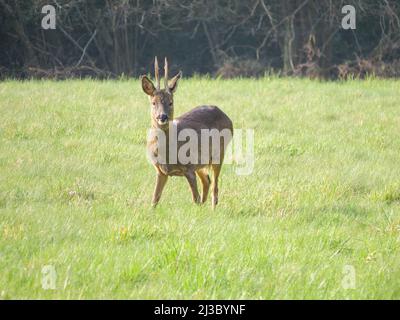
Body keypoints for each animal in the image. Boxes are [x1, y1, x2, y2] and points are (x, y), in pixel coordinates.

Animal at [141, 57, 233, 210]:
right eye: (153, 103)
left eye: (171, 102)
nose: (162, 117)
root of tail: (225, 115)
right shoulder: (160, 171)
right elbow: (154, 199)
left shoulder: (189, 168)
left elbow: (195, 198)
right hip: (201, 162)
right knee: (207, 181)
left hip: (218, 153)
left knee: (214, 186)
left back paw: (212, 209)